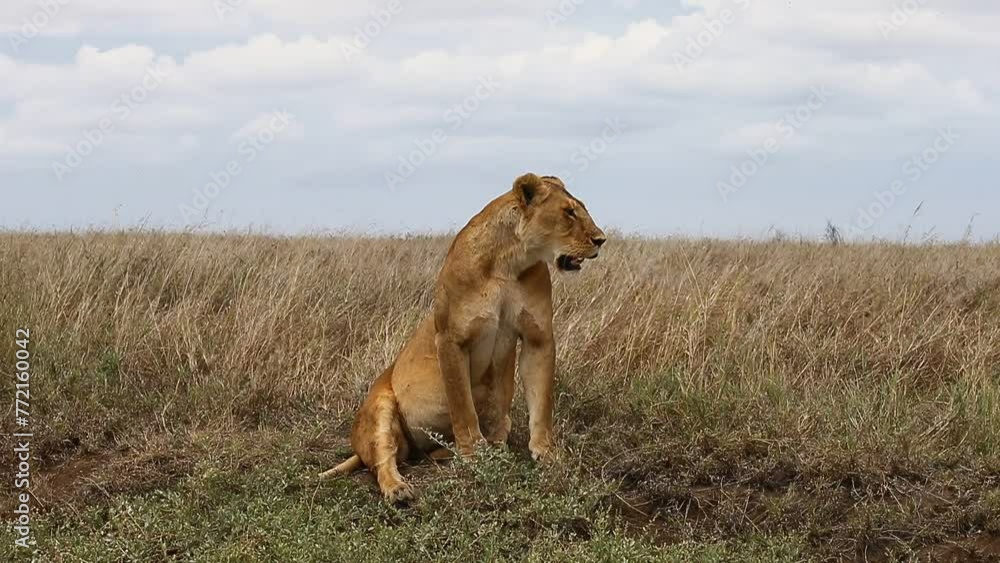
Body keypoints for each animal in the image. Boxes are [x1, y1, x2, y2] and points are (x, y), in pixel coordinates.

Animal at [319, 173, 606, 502]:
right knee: (383, 460)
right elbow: (462, 406)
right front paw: (474, 453)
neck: (509, 263)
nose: (601, 240)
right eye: (568, 212)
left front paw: (545, 453)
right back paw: (399, 489)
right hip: (380, 407)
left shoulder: (539, 337)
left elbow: (541, 402)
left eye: (580, 209)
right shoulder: (450, 340)